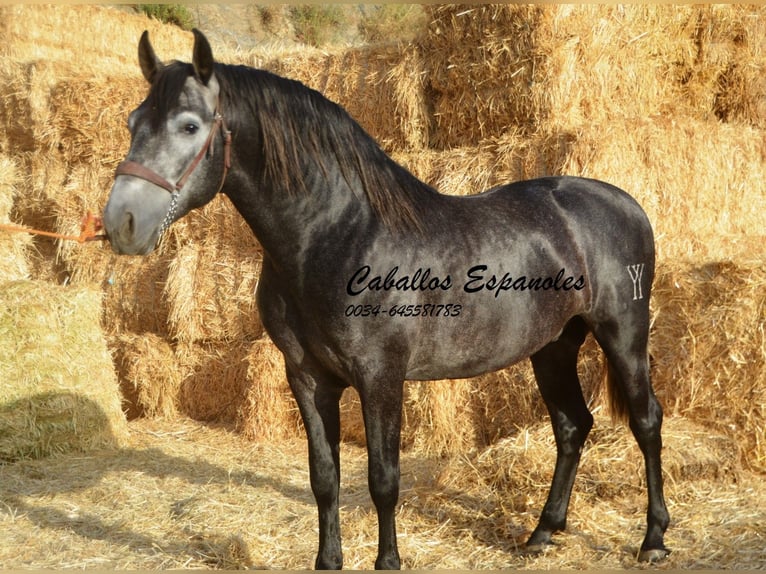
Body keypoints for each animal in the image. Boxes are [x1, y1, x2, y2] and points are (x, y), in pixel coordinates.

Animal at [103, 29, 672, 568]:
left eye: (189, 126)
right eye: (133, 122)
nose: (121, 223)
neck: (341, 234)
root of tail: (626, 203)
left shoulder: (380, 377)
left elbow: (383, 480)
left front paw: (389, 561)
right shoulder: (307, 377)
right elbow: (324, 478)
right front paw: (328, 561)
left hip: (622, 333)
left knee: (646, 421)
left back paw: (653, 539)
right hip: (553, 345)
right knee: (573, 425)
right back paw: (543, 533)